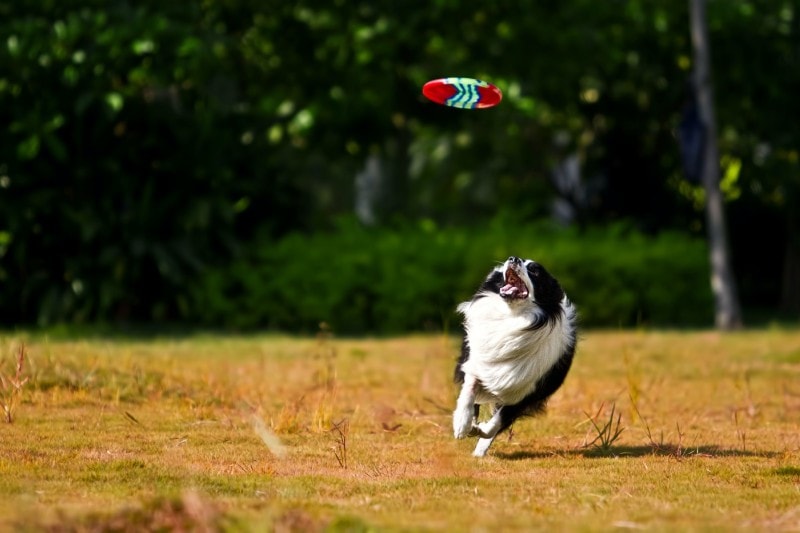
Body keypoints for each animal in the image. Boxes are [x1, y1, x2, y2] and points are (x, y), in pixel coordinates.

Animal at [454, 256, 580, 456]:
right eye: (512, 260)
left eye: (535, 271)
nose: (513, 258)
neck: (514, 317)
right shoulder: (477, 363)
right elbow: (469, 391)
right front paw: (462, 424)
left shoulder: (529, 391)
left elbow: (497, 422)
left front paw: (480, 430)